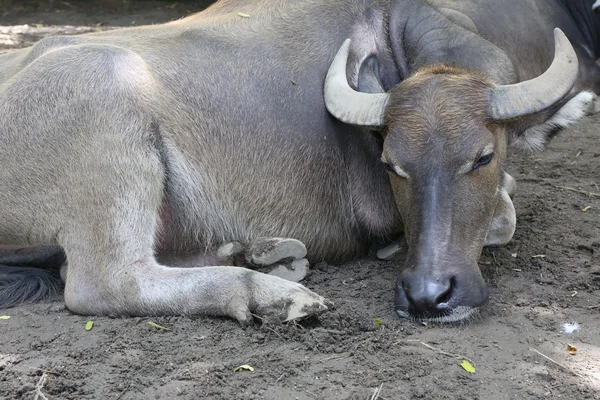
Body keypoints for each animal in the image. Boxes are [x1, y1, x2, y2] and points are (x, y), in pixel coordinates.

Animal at [0, 0, 596, 324]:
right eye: (391, 164)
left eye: (483, 156)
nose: (428, 295)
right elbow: (505, 214)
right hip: (110, 114)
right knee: (101, 281)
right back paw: (273, 293)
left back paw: (265, 254)